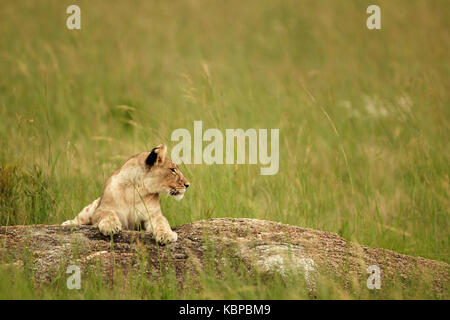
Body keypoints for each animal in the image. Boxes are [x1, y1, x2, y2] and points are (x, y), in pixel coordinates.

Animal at [62, 144, 190, 244]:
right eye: (173, 170)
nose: (187, 184)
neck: (135, 190)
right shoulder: (101, 209)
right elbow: (108, 213)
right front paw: (110, 226)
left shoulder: (152, 215)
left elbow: (162, 222)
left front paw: (167, 235)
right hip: (92, 207)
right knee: (80, 217)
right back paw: (67, 223)